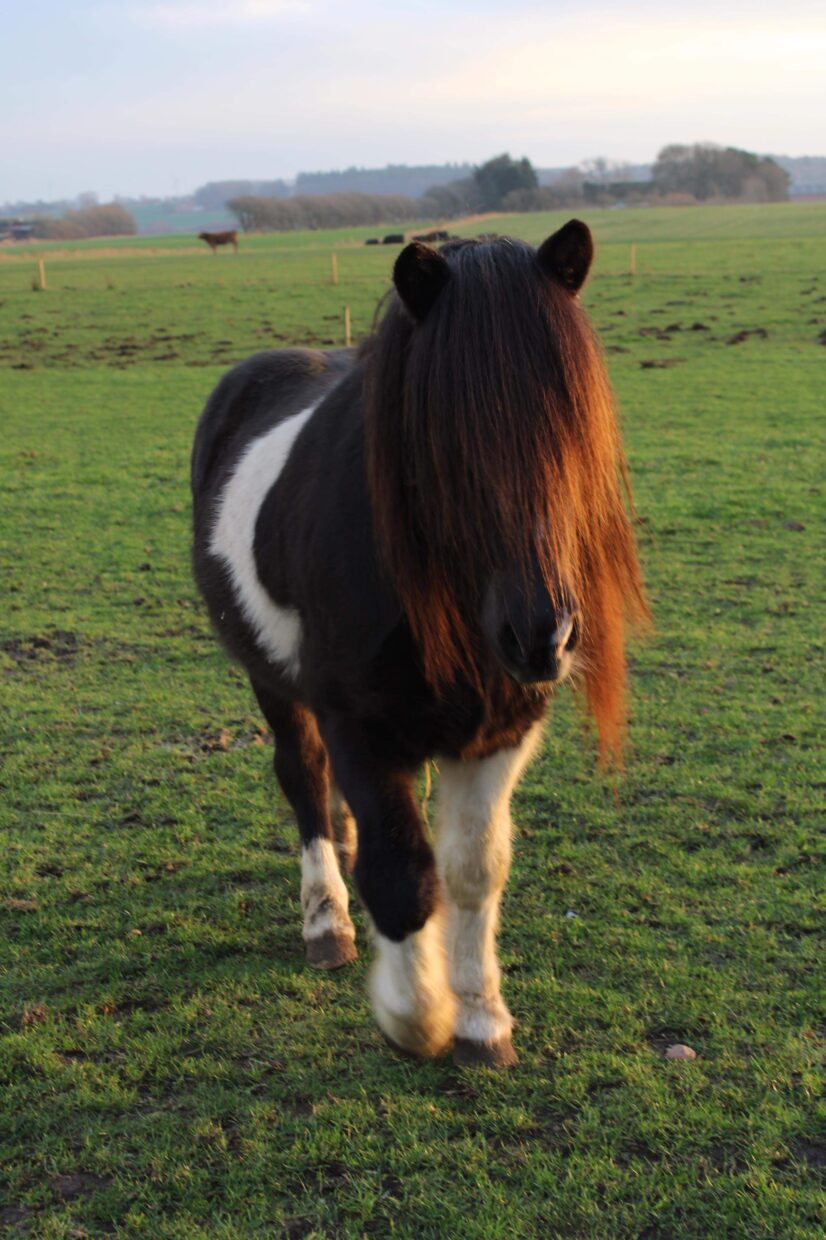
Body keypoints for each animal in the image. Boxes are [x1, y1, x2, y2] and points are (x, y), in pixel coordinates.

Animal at [189, 223, 644, 1066]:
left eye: (575, 424)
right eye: (447, 441)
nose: (542, 634)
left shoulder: (501, 728)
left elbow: (472, 869)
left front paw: (479, 1017)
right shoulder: (356, 723)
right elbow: (402, 870)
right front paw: (417, 1014)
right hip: (273, 683)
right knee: (304, 780)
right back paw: (327, 919)